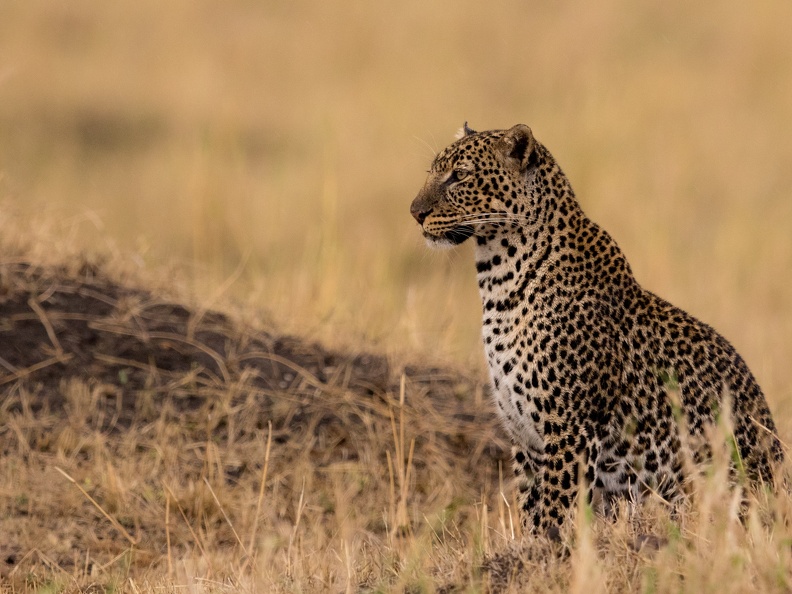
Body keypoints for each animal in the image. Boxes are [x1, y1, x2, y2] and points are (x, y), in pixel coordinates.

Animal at [410, 123, 784, 536]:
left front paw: (549, 551)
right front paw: (528, 548)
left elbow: (554, 513)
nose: (415, 213)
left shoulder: (568, 430)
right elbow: (531, 510)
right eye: (433, 172)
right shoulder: (524, 437)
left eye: (460, 175)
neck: (498, 280)